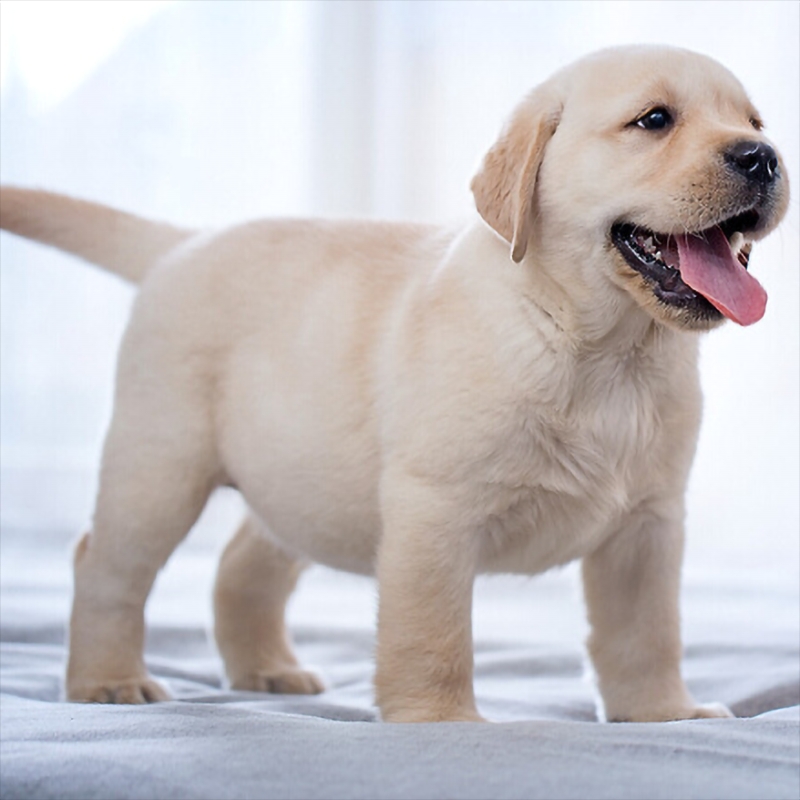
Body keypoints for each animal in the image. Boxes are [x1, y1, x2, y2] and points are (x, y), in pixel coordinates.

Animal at [0, 48, 788, 724]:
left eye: (754, 122)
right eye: (654, 120)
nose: (763, 158)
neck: (603, 351)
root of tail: (180, 243)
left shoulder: (648, 526)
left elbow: (647, 632)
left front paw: (663, 711)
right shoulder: (434, 509)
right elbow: (432, 630)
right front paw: (441, 721)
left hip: (299, 476)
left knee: (241, 566)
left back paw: (266, 669)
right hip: (161, 465)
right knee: (104, 564)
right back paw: (107, 680)